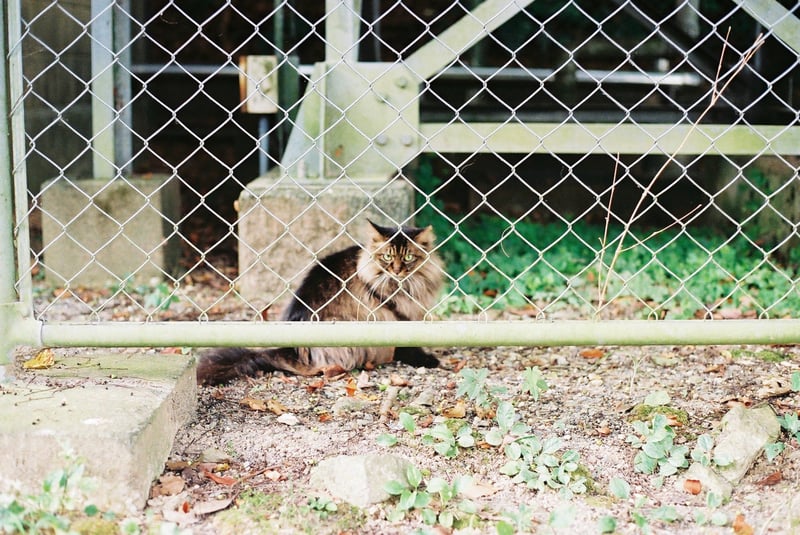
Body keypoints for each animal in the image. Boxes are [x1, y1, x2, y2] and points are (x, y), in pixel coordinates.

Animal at [195, 219, 444, 386]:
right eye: (388, 256)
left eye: (408, 257)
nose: (397, 270)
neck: (405, 286)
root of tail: (290, 348)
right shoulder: (393, 317)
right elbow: (407, 345)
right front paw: (428, 359)